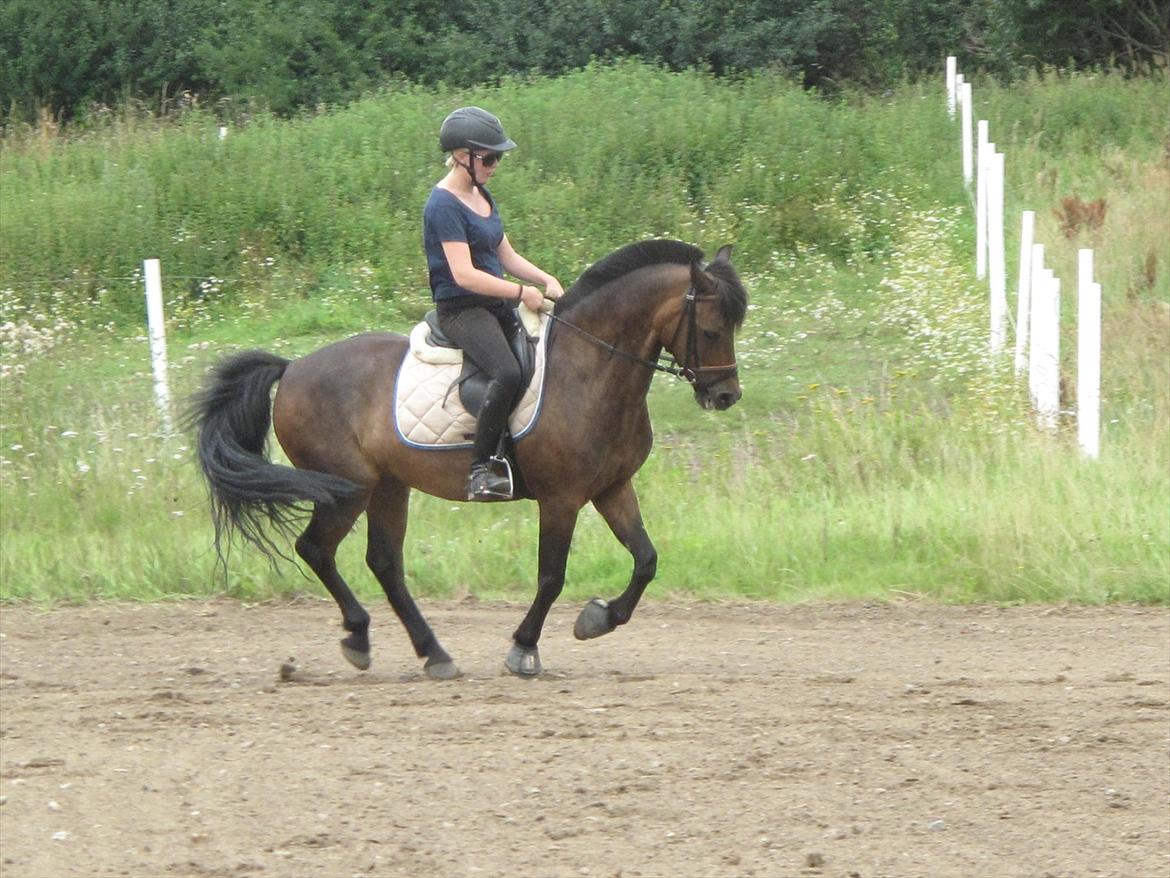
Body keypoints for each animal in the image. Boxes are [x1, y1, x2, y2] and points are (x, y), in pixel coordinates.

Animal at [186, 237, 744, 678]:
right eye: (712, 330)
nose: (725, 397)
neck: (591, 369)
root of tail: (294, 366)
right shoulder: (561, 499)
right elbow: (551, 577)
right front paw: (523, 649)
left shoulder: (611, 488)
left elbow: (646, 560)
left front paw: (599, 619)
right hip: (347, 486)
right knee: (317, 550)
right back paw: (361, 636)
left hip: (389, 486)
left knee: (383, 563)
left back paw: (432, 653)